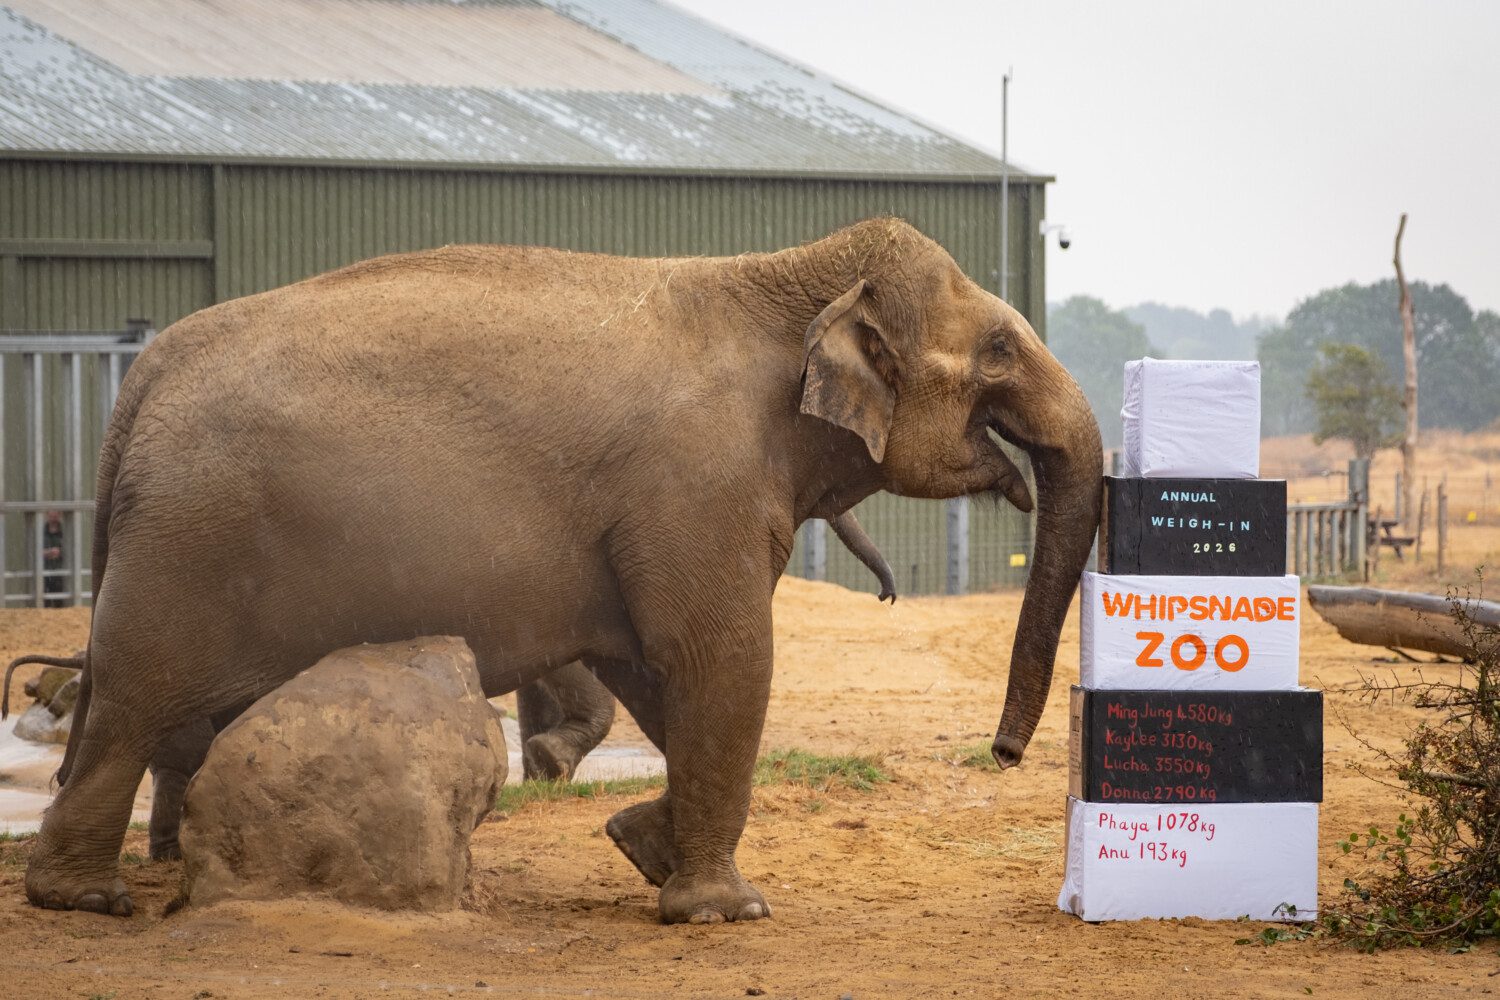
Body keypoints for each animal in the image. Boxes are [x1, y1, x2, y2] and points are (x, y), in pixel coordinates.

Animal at [25, 218, 1102, 922]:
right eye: (998, 348)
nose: (1002, 754)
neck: (782, 276)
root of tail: (141, 380)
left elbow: (658, 673)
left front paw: (641, 844)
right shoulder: (694, 485)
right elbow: (721, 660)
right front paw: (725, 912)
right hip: (185, 550)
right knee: (132, 704)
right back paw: (87, 899)